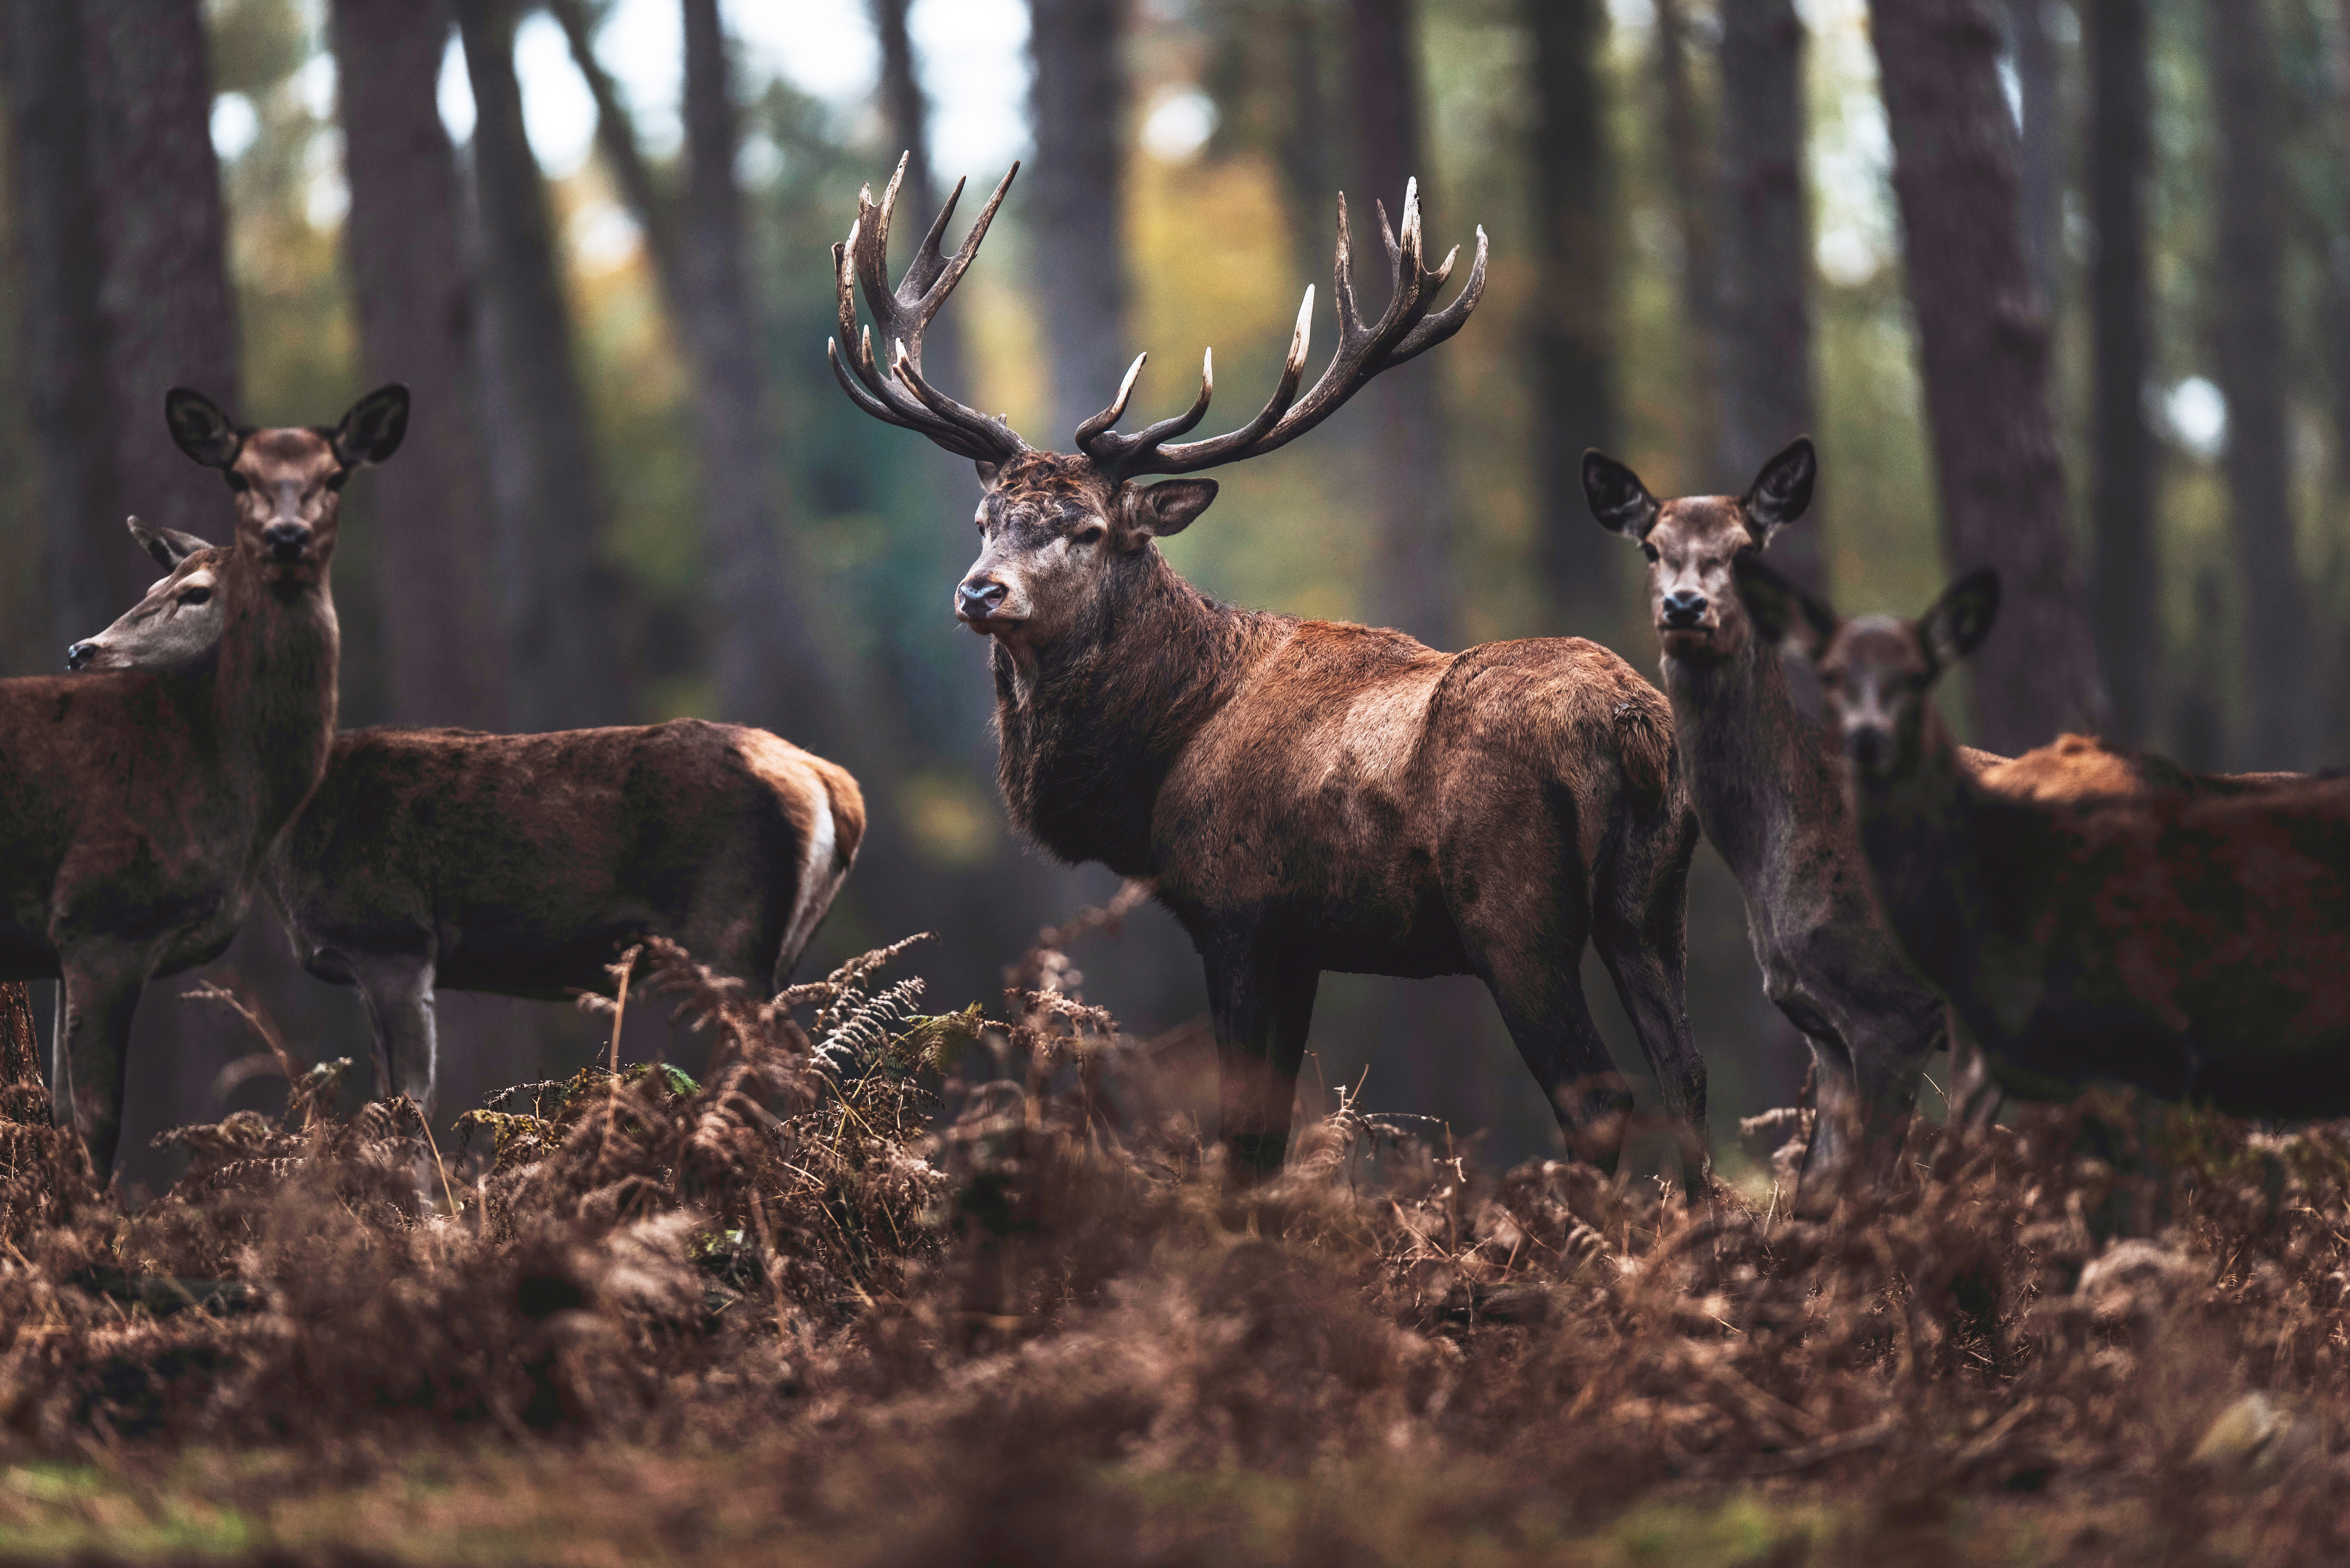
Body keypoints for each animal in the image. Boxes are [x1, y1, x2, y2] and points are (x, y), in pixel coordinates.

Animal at [0, 385, 403, 1178]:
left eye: (196, 593)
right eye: (153, 582)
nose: (83, 650)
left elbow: (65, 1118)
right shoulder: (99, 917)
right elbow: (95, 1127)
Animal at [69, 522, 865, 1121]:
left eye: (196, 594)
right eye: (151, 587)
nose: (82, 650)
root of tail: (832, 786)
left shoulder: (391, 938)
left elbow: (410, 1107)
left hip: (725, 932)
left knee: (786, 1068)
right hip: (768, 950)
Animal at [827, 156, 1710, 1191]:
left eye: (1088, 529)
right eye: (984, 522)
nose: (979, 592)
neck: (1157, 763)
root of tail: (1630, 722)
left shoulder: (1237, 911)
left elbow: (1246, 1134)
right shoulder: (1301, 941)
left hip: (1513, 910)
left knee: (1600, 1097)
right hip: (1654, 898)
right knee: (1685, 1077)